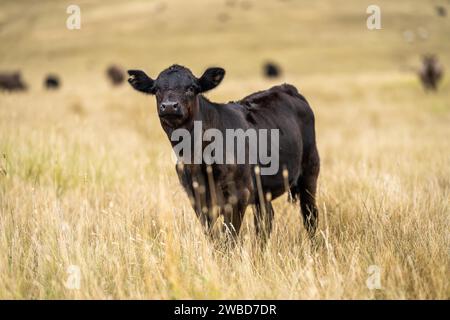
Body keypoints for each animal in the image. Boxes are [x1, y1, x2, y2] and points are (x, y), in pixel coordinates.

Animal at [126, 65, 320, 245]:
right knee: (265, 221)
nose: (169, 106)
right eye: (156, 89)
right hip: (262, 189)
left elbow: (228, 238)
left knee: (310, 216)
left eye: (191, 88)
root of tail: (287, 88)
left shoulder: (239, 194)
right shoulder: (197, 197)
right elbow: (212, 237)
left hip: (310, 171)